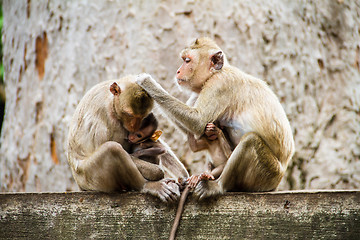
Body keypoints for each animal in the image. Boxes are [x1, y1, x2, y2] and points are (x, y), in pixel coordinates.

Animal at [136, 37, 296, 199]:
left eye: (187, 60)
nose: (178, 71)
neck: (216, 73)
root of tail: (278, 180)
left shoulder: (219, 83)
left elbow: (198, 121)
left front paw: (147, 82)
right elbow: (196, 130)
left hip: (268, 174)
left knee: (250, 140)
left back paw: (216, 186)